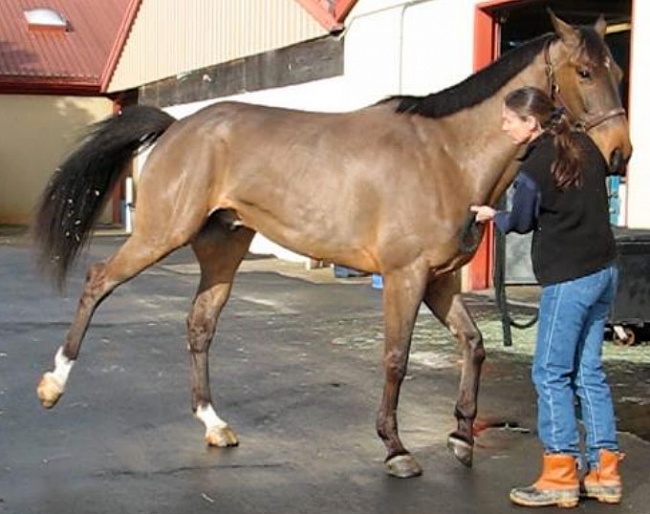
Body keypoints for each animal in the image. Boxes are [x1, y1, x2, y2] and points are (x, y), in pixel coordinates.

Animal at [34, 12, 628, 476]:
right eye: (583, 71)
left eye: (619, 71)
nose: (619, 154)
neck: (447, 156)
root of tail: (179, 126)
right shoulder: (406, 277)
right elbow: (396, 358)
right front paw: (396, 449)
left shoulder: (440, 281)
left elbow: (475, 344)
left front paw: (461, 437)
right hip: (161, 234)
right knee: (97, 283)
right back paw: (53, 385)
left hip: (223, 250)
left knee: (199, 326)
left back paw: (215, 424)